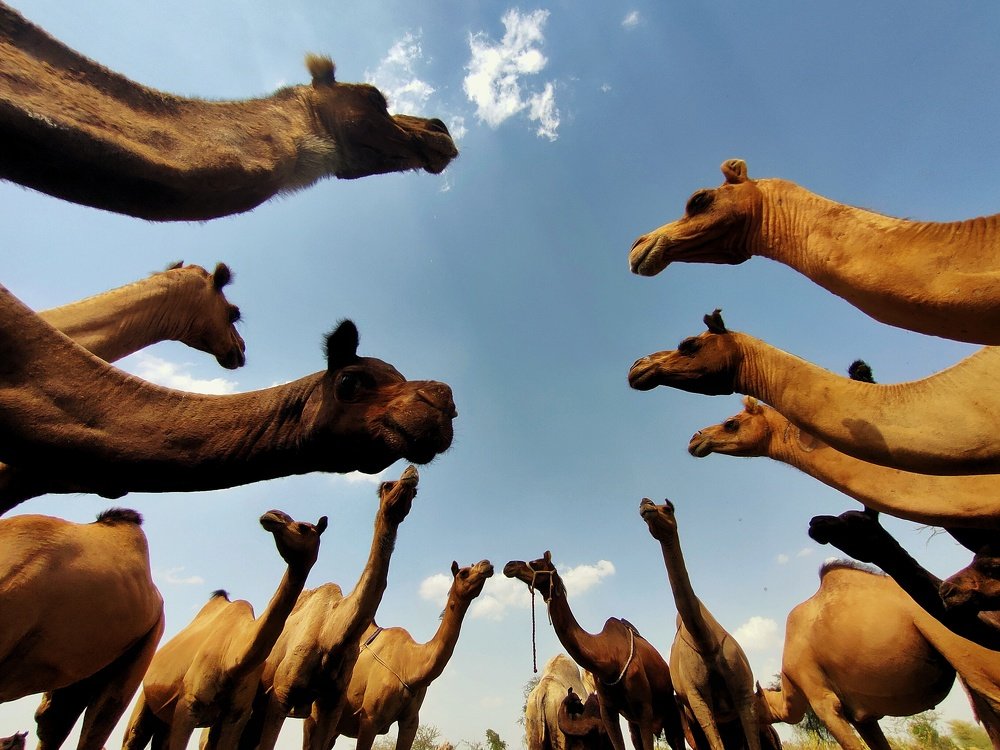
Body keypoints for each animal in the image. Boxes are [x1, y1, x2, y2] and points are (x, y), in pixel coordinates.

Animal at [122, 510, 327, 750]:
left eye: (304, 527)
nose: (271, 516)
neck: (234, 661)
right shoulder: (189, 704)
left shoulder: (236, 715)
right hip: (145, 699)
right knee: (134, 735)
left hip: (165, 717)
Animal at [241, 465, 419, 750]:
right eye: (387, 485)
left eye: (414, 492)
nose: (411, 471)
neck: (332, 635)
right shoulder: (282, 692)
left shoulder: (331, 703)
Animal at [503, 552, 686, 750]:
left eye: (536, 562)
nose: (509, 565)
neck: (608, 659)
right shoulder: (608, 711)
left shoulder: (643, 708)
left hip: (669, 708)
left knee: (676, 738)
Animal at [639, 499, 773, 750]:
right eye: (649, 506)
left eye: (667, 508)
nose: (646, 504)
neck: (705, 642)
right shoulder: (696, 696)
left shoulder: (744, 691)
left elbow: (753, 740)